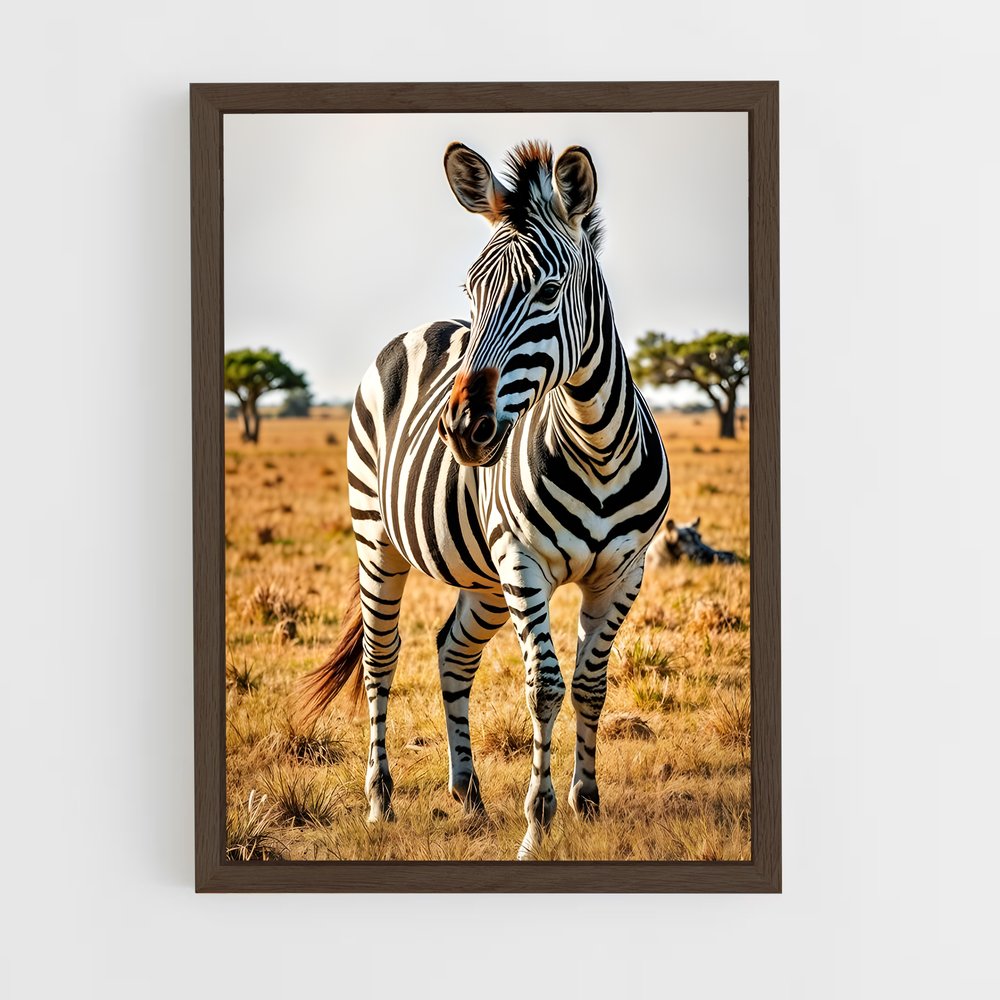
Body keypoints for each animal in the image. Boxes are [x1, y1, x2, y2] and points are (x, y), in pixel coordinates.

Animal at [300, 140, 671, 859]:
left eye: (549, 291)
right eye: (473, 290)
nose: (462, 429)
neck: (597, 445)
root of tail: (415, 329)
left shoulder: (624, 572)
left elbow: (590, 683)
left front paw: (586, 804)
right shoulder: (525, 561)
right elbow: (545, 686)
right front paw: (538, 822)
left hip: (484, 575)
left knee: (452, 650)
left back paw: (467, 793)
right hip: (377, 539)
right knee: (380, 660)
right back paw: (380, 801)